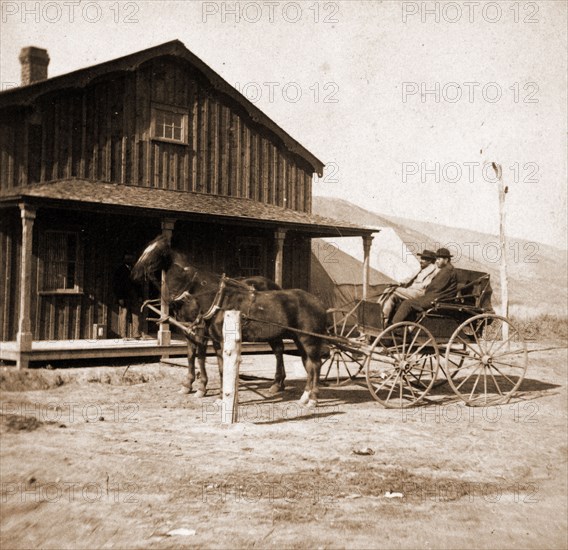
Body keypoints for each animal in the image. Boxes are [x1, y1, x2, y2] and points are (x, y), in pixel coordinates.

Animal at [131, 235, 326, 408]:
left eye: (156, 252)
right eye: (146, 248)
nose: (133, 273)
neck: (216, 299)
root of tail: (318, 303)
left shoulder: (204, 333)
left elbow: (203, 358)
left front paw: (202, 388)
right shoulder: (209, 338)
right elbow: (210, 363)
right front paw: (208, 392)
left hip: (308, 340)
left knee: (313, 364)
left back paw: (309, 398)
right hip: (298, 339)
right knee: (303, 362)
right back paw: (298, 394)